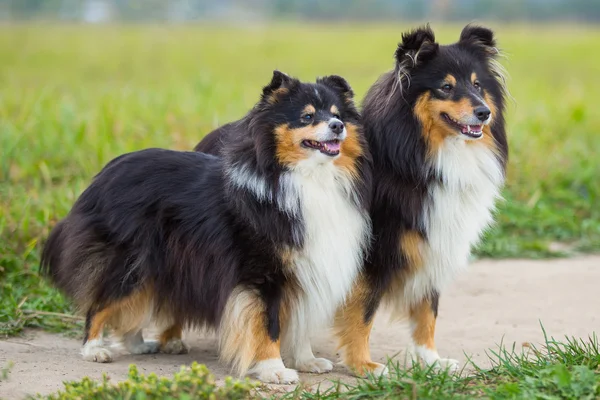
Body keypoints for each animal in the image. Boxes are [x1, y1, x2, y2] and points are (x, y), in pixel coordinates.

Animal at [41, 71, 370, 384]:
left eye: (337, 113)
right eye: (307, 116)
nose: (337, 126)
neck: (306, 178)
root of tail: (103, 175)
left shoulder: (304, 268)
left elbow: (299, 323)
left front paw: (307, 361)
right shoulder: (264, 274)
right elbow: (269, 324)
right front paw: (274, 370)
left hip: (156, 265)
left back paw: (138, 344)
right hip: (130, 262)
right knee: (101, 303)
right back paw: (94, 350)